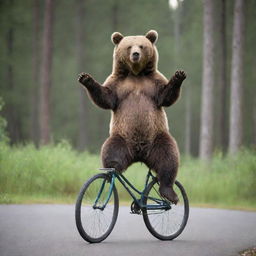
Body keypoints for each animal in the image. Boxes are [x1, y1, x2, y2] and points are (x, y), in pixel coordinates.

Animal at [78, 29, 186, 204]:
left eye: (141, 46)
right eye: (129, 46)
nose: (135, 54)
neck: (136, 73)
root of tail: (140, 154)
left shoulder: (153, 82)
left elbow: (166, 96)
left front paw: (178, 76)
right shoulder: (117, 84)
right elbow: (105, 97)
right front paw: (85, 78)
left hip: (157, 137)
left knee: (168, 158)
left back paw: (169, 192)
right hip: (122, 137)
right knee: (111, 150)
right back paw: (113, 165)